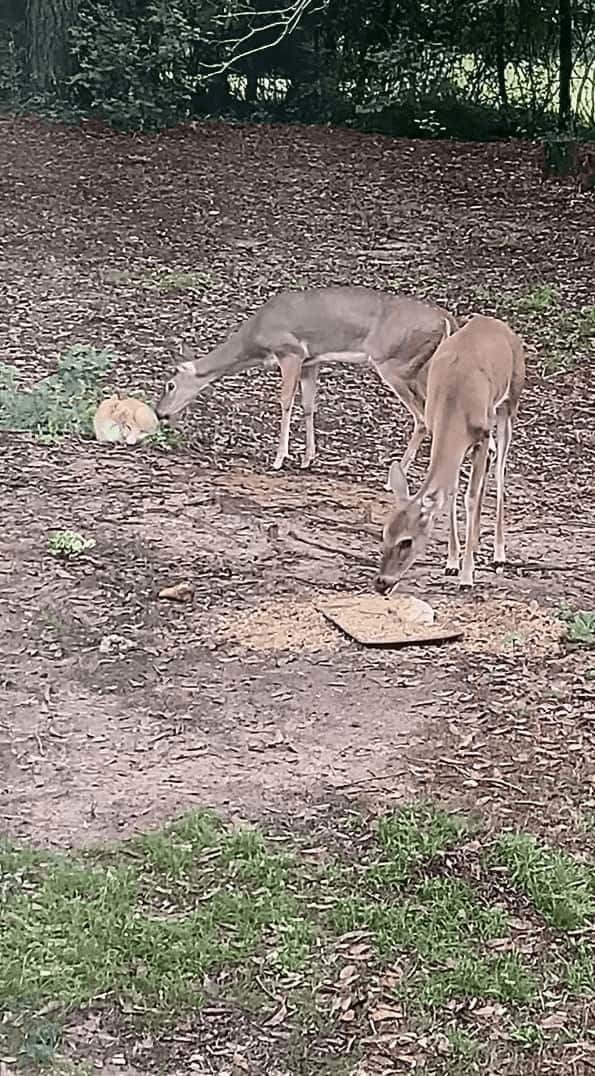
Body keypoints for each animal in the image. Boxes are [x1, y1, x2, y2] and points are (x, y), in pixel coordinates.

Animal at [153, 286, 454, 475]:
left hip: (395, 364)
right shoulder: (312, 361)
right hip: (421, 369)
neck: (255, 340)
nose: (160, 413)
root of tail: (446, 318)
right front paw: (307, 459)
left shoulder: (291, 352)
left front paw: (279, 458)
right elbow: (309, 406)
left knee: (422, 418)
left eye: (170, 385)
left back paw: (398, 474)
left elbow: (285, 401)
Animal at [376, 314, 525, 593]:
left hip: (509, 402)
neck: (454, 403)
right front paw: (452, 562)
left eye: (406, 541)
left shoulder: (481, 433)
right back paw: (475, 543)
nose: (382, 583)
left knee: (500, 470)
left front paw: (467, 576)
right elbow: (452, 493)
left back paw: (499, 555)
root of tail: (497, 323)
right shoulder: (442, 432)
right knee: (488, 465)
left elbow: (470, 497)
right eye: (384, 533)